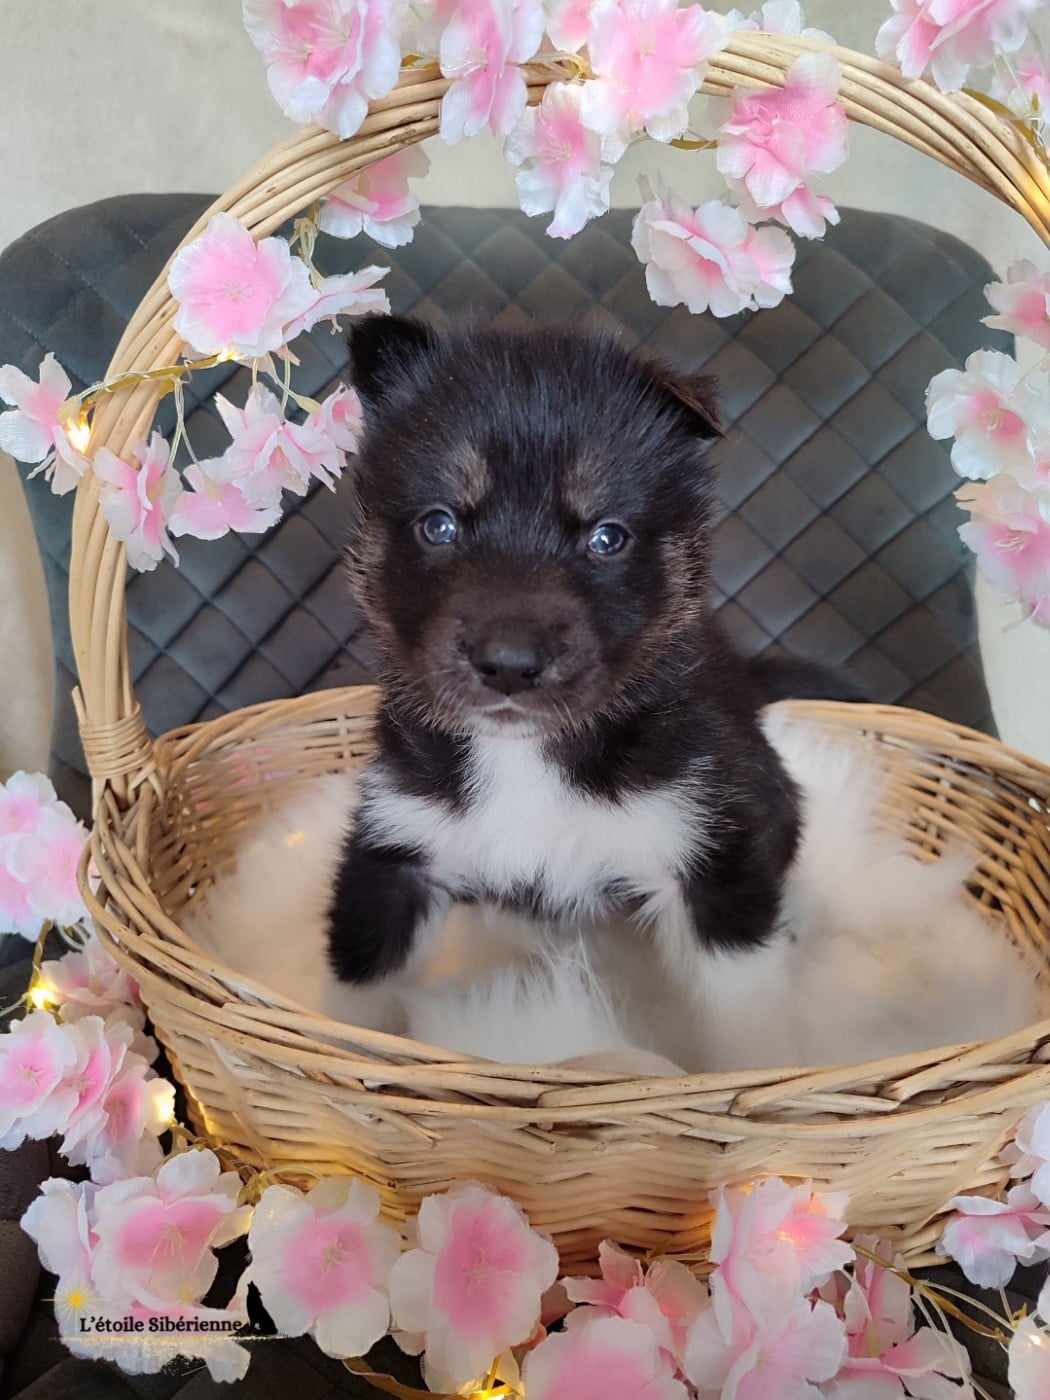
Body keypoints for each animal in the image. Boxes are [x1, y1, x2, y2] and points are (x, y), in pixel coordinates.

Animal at [325, 316, 862, 992]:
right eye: (438, 525)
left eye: (607, 538)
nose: (508, 663)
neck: (524, 758)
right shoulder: (394, 844)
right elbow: (356, 989)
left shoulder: (713, 847)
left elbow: (744, 1003)